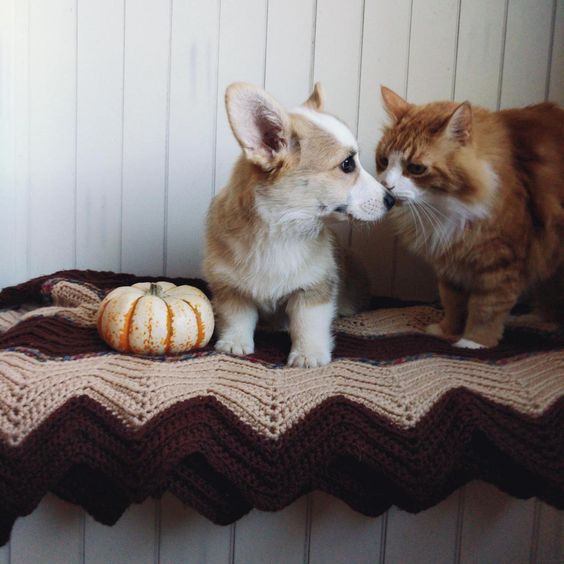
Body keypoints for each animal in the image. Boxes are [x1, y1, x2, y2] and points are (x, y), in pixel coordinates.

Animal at [204, 81, 392, 368]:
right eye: (348, 164)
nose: (392, 200)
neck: (282, 230)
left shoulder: (313, 289)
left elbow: (308, 324)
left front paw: (308, 355)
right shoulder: (231, 287)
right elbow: (238, 317)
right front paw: (234, 343)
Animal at [374, 87, 564, 348]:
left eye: (416, 168)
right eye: (384, 161)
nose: (385, 186)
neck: (444, 207)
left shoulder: (500, 261)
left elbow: (487, 307)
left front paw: (474, 342)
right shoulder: (451, 260)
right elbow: (452, 301)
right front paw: (447, 330)